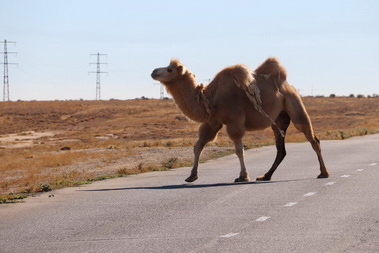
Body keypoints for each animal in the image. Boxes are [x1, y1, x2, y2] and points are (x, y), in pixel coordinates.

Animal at [151, 57, 330, 182]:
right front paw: (192, 175)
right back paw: (265, 176)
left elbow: (238, 149)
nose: (153, 71)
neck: (211, 98)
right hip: (279, 118)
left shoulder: (234, 121)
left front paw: (243, 176)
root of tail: (288, 85)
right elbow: (198, 146)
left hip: (294, 103)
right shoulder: (213, 121)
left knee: (312, 138)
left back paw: (324, 173)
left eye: (169, 69)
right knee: (281, 149)